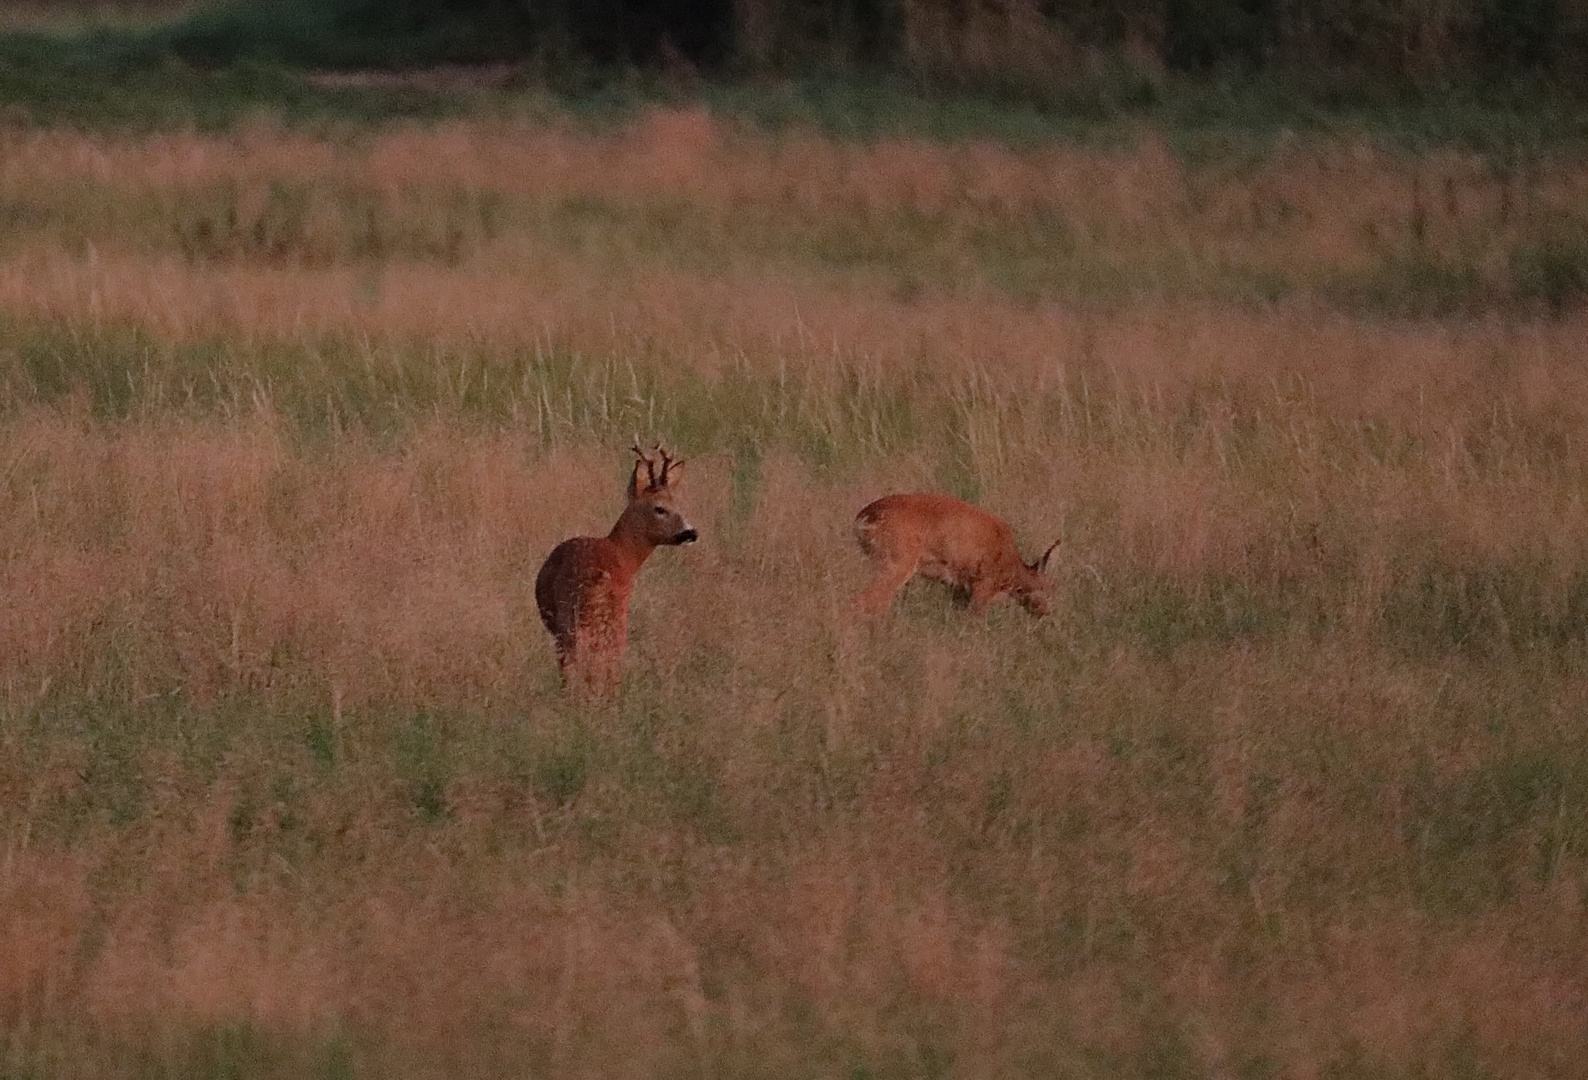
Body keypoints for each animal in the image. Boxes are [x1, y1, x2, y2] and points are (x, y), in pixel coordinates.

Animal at [851, 495, 1060, 616]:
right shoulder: (982, 587)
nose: (1045, 611)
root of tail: (865, 516)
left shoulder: (959, 590)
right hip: (897, 565)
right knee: (868, 601)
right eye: (1048, 586)